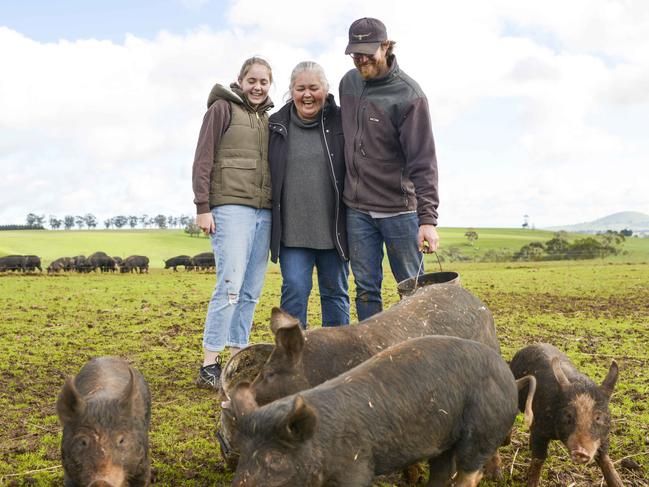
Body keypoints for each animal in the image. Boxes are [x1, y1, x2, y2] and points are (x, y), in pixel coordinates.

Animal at [56, 356, 152, 486]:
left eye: (121, 440)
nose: (101, 482)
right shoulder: (69, 473)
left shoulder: (143, 466)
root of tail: (107, 357)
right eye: (83, 441)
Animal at [225, 338, 528, 487]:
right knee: (442, 473)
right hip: (443, 441)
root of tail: (507, 373)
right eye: (243, 453)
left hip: (482, 428)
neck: (322, 440)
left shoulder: (357, 466)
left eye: (275, 458)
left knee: (471, 471)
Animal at [508, 344, 620, 487]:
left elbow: (606, 461)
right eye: (568, 414)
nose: (581, 452)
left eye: (598, 417)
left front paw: (619, 483)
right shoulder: (540, 429)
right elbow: (538, 460)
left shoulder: (604, 437)